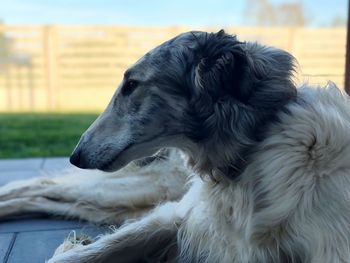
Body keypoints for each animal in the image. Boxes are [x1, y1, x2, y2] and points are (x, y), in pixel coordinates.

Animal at [0, 29, 350, 262]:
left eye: (132, 85)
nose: (75, 156)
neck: (252, 150)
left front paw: (75, 243)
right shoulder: (181, 216)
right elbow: (73, 257)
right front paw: (76, 246)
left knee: (42, 194)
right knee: (38, 186)